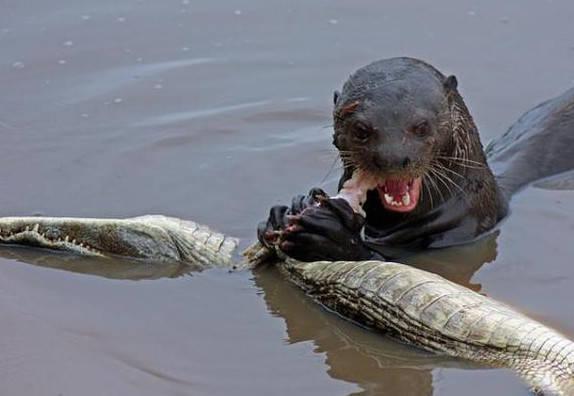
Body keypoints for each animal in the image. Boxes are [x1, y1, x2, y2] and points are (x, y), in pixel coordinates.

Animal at [260, 55, 574, 260]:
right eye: (361, 129)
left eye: (421, 126)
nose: (392, 159)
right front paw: (285, 211)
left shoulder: (460, 233)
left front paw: (331, 236)